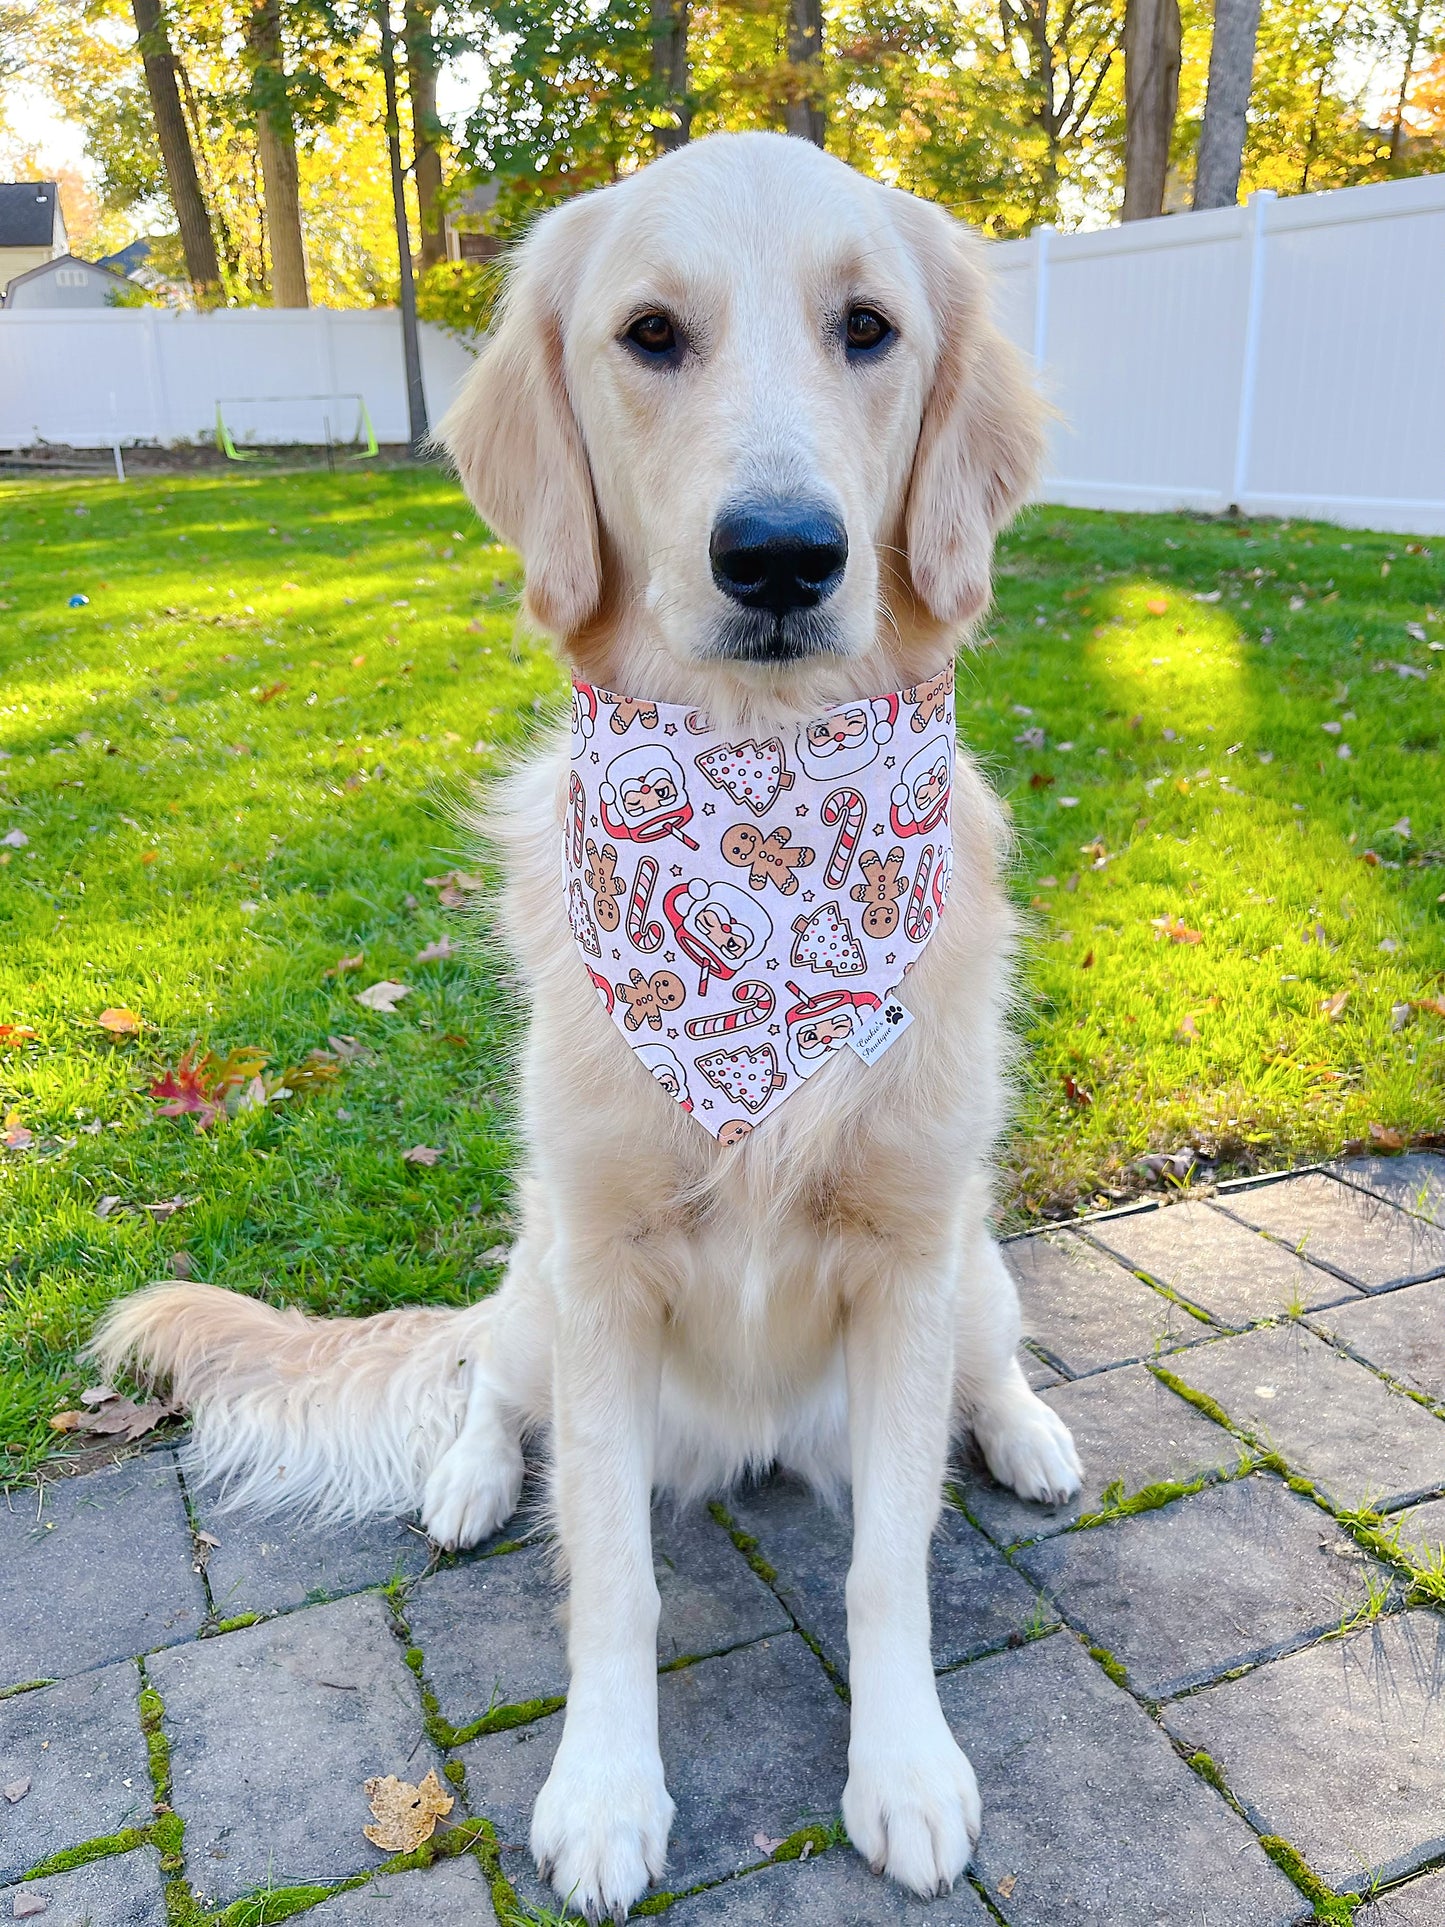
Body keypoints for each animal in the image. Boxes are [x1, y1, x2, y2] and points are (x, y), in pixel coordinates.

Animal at [93, 128, 1086, 1919]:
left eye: (867, 328)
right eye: (649, 335)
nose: (782, 554)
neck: (764, 819)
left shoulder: (912, 1253)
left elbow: (890, 1566)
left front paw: (904, 1769)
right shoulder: (605, 1265)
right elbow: (609, 1572)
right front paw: (608, 1791)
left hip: (968, 1263)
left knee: (993, 1361)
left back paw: (1029, 1433)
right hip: (536, 1274)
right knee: (495, 1391)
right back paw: (470, 1474)